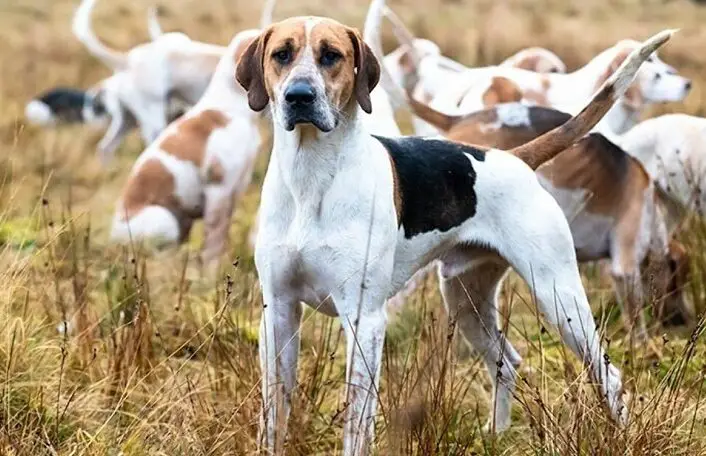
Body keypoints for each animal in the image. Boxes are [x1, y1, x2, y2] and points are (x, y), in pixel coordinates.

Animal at [110, 29, 262, 268]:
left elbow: (222, 235)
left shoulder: (236, 188)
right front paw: (211, 271)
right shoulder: (218, 189)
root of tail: (113, 232)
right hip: (165, 220)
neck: (231, 109)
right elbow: (213, 240)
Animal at [234, 13, 668, 452]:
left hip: (559, 298)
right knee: (507, 362)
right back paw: (496, 435)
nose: (299, 96)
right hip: (465, 298)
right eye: (282, 55)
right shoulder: (278, 311)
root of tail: (515, 158)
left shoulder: (363, 319)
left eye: (331, 56)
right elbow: (273, 414)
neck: (311, 179)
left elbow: (358, 423)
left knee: (608, 374)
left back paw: (621, 436)